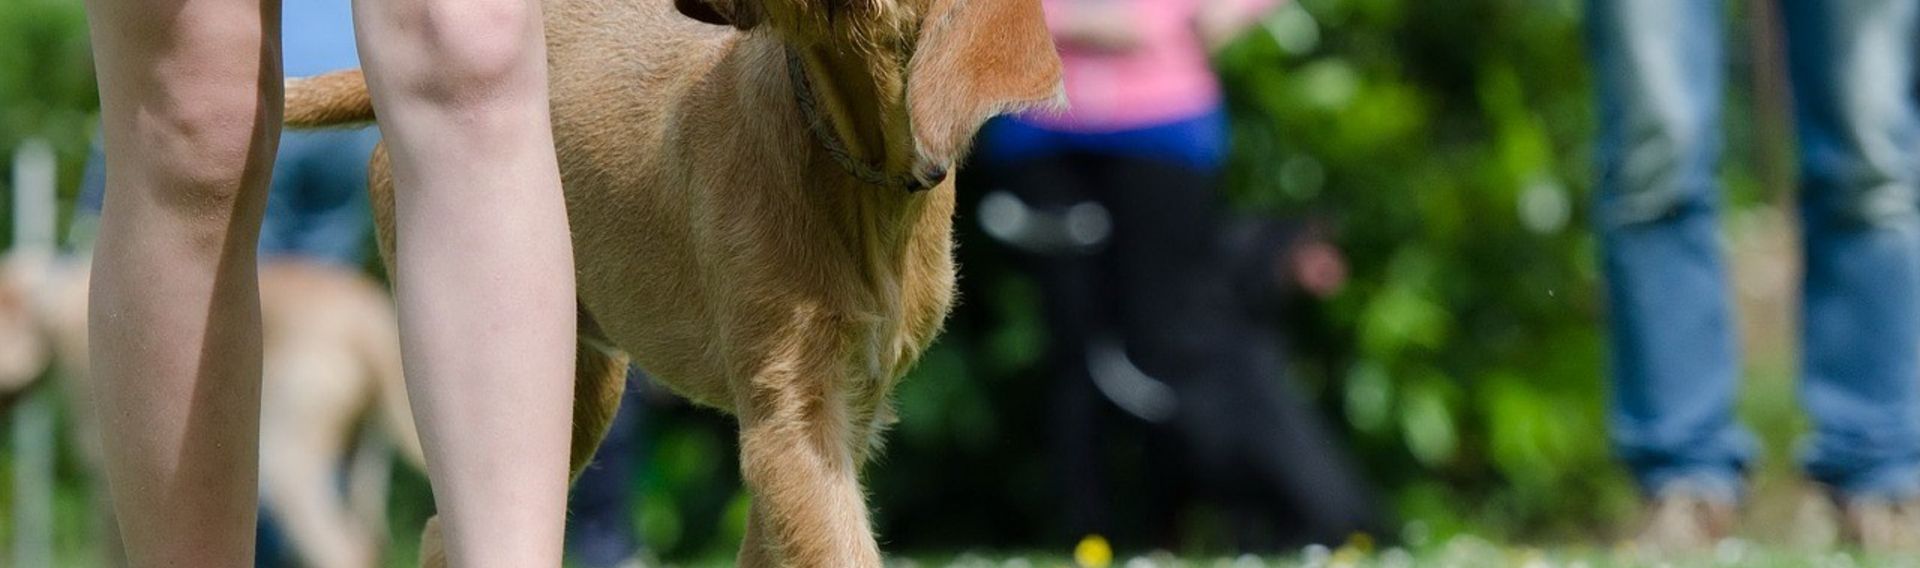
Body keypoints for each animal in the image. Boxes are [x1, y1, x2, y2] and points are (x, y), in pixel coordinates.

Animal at [0, 253, 424, 568]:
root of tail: (365, 321)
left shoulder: (105, 475)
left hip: (288, 457)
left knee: (342, 549)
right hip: (365, 457)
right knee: (367, 539)